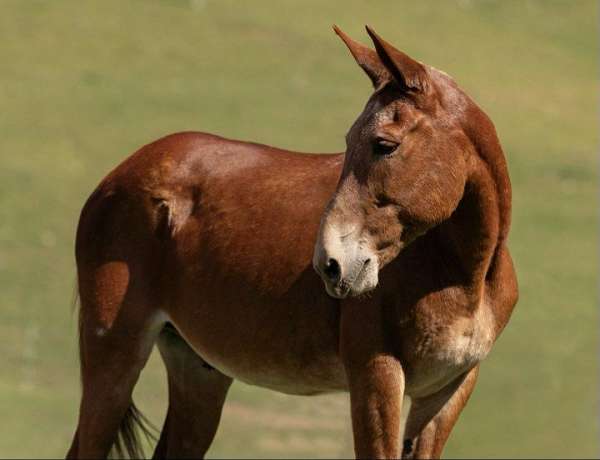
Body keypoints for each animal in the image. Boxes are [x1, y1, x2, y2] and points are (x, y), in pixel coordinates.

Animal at [65, 27, 516, 458]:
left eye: (384, 145)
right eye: (348, 141)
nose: (330, 264)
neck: (460, 274)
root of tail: (119, 176)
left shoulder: (448, 389)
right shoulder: (376, 375)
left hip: (197, 371)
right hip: (114, 355)